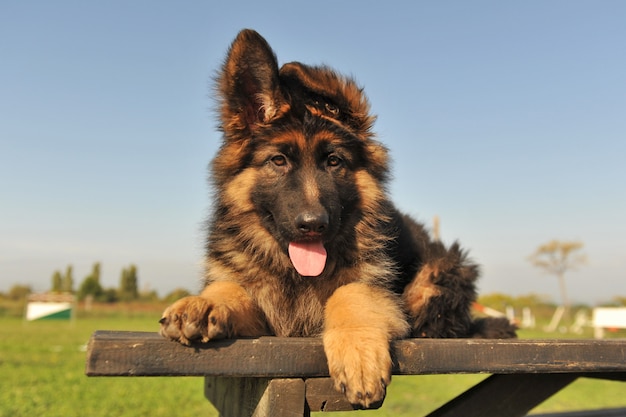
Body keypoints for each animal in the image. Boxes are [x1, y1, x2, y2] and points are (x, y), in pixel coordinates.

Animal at [160, 30, 512, 410]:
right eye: (278, 161)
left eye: (333, 161)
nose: (313, 224)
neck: (296, 274)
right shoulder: (264, 318)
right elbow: (233, 290)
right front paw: (205, 302)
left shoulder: (376, 289)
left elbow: (350, 292)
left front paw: (358, 354)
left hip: (440, 271)